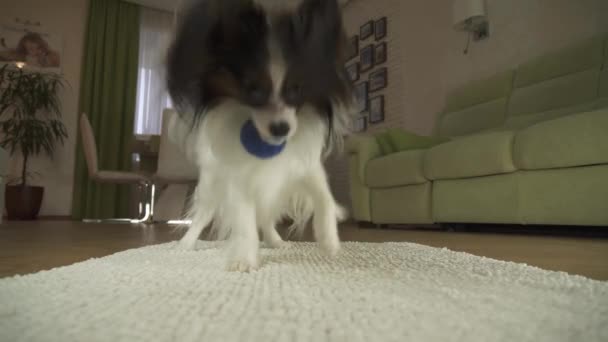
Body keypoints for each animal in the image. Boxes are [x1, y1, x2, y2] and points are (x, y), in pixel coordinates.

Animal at [167, 0, 356, 272]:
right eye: (253, 90)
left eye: (296, 90)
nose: (281, 129)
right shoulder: (239, 178)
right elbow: (245, 222)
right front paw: (245, 259)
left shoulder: (307, 168)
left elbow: (324, 198)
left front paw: (329, 240)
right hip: (211, 186)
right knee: (203, 215)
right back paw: (186, 244)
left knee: (267, 216)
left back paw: (276, 241)